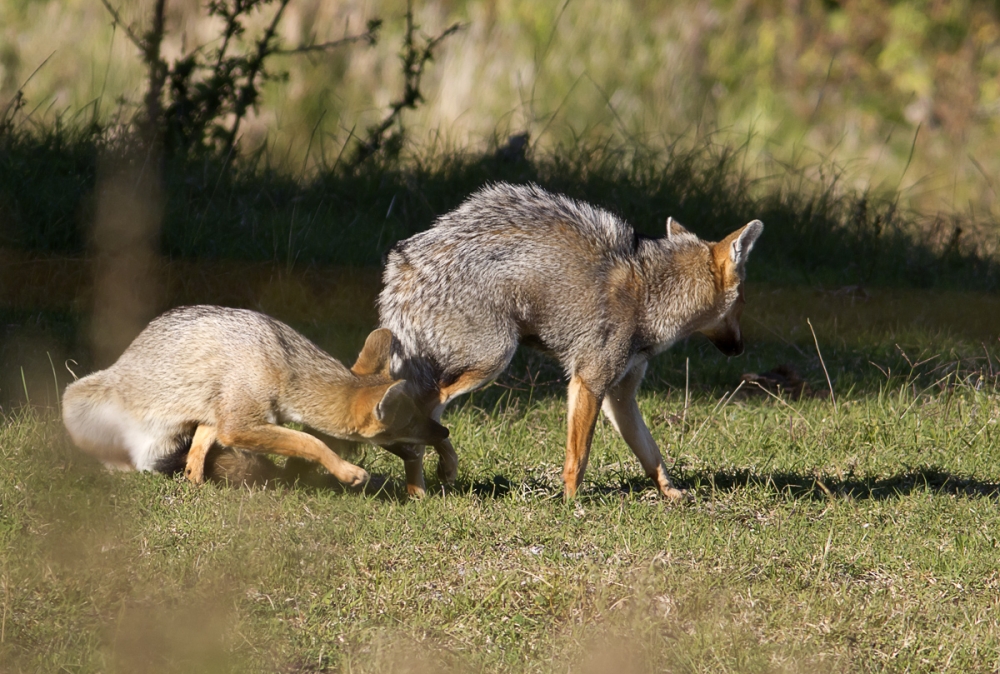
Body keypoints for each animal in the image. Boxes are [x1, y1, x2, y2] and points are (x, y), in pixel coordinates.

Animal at [62, 304, 450, 484]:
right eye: (411, 423)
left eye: (422, 414)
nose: (445, 431)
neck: (282, 363)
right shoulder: (239, 424)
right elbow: (310, 442)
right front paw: (346, 472)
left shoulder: (220, 417)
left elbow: (200, 446)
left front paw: (195, 481)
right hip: (75, 397)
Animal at [378, 181, 760, 496]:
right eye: (743, 302)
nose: (741, 349)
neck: (653, 295)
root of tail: (404, 267)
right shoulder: (587, 382)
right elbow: (579, 456)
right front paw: (572, 503)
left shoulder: (620, 397)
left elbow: (652, 455)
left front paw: (672, 494)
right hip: (493, 360)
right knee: (428, 409)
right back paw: (441, 471)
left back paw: (419, 491)